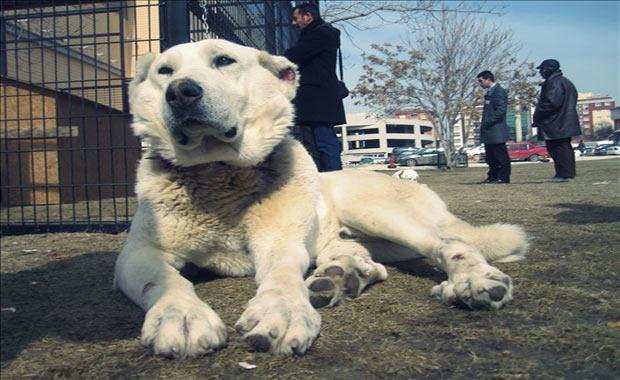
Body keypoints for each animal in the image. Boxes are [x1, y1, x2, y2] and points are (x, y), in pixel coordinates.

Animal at [112, 39, 528, 360]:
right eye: (164, 71)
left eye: (224, 61)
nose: (180, 91)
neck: (219, 171)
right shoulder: (139, 254)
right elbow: (165, 280)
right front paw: (180, 315)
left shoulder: (280, 243)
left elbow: (281, 276)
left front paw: (282, 310)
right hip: (357, 239)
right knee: (371, 262)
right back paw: (341, 277)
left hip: (376, 212)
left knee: (451, 243)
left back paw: (473, 282)